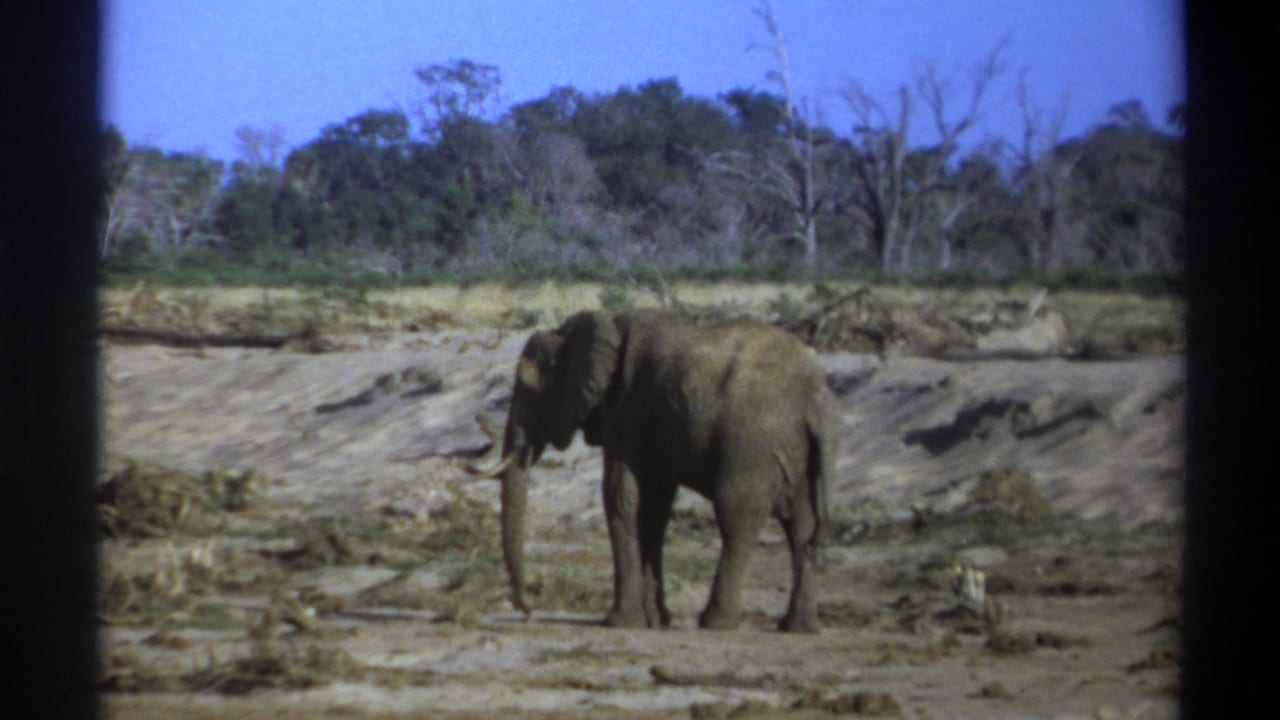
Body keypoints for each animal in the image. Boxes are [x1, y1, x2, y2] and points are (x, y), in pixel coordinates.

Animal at [471, 309, 838, 632]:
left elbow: (621, 496)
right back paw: (799, 627)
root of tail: (815, 401)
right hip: (795, 451)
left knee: (737, 520)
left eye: (531, 389)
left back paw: (716, 622)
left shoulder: (627, 409)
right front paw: (655, 620)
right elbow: (653, 507)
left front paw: (620, 623)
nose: (528, 610)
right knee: (801, 527)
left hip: (751, 444)